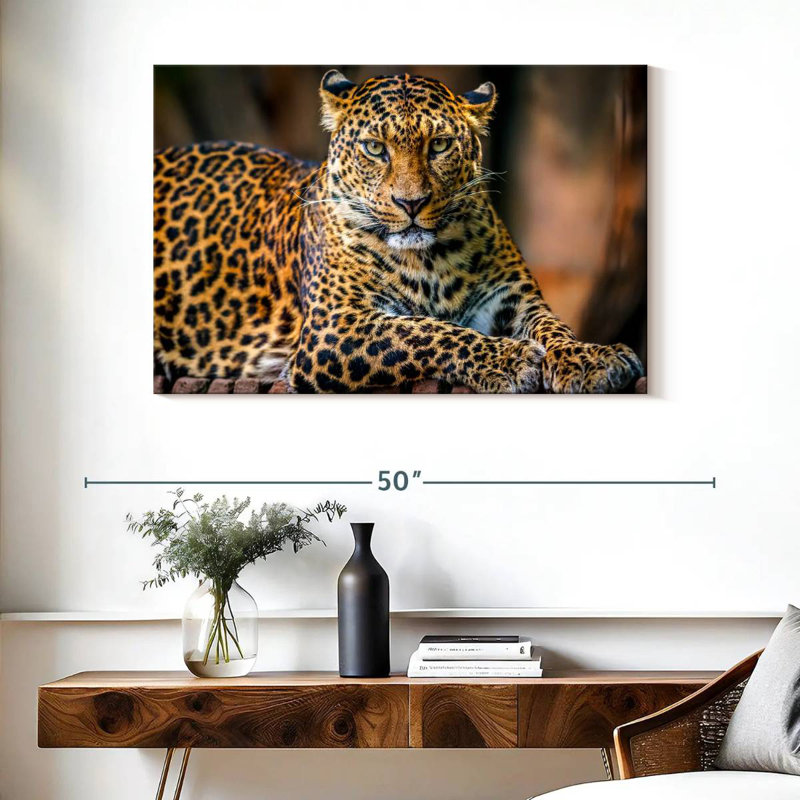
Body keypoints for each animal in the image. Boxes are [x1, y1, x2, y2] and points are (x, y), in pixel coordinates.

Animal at [154, 70, 644, 393]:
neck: (431, 259)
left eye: (440, 145)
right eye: (375, 148)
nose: (411, 203)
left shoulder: (512, 299)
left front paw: (592, 358)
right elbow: (424, 332)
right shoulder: (334, 328)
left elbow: (554, 327)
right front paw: (509, 358)